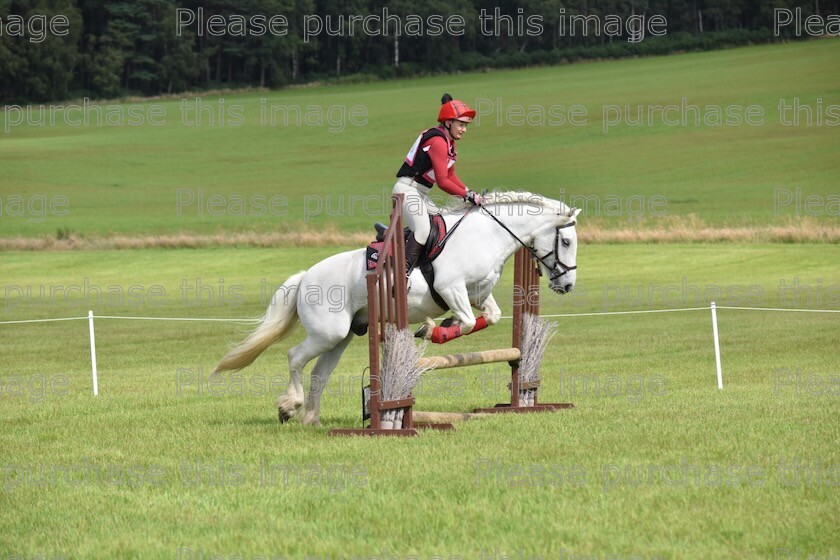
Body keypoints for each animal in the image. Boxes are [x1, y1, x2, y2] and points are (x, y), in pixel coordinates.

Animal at [213, 192, 580, 424]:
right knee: (295, 357)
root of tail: (305, 277)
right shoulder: (452, 288)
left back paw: (312, 419)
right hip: (327, 332)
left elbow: (488, 317)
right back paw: (290, 407)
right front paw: (431, 329)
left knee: (320, 372)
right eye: (565, 241)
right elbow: (463, 320)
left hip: (341, 337)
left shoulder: (477, 293)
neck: (488, 235)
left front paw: (439, 325)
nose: (566, 286)